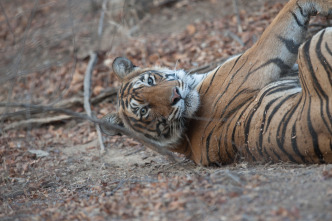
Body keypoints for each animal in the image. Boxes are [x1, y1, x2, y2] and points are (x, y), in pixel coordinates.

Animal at [101, 0, 332, 166]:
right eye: (144, 111)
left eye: (150, 80)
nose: (176, 95)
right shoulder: (254, 61)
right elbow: (283, 18)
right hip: (315, 42)